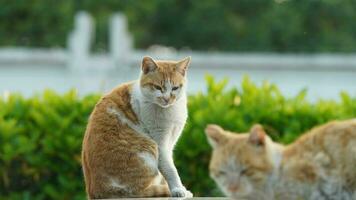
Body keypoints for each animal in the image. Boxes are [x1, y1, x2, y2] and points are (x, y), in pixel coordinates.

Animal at [81, 55, 193, 198]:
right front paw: (177, 189)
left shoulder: (170, 144)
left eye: (175, 88)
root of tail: (96, 190)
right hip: (148, 149)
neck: (169, 110)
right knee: (139, 191)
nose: (167, 99)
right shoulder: (160, 144)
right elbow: (170, 169)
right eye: (157, 87)